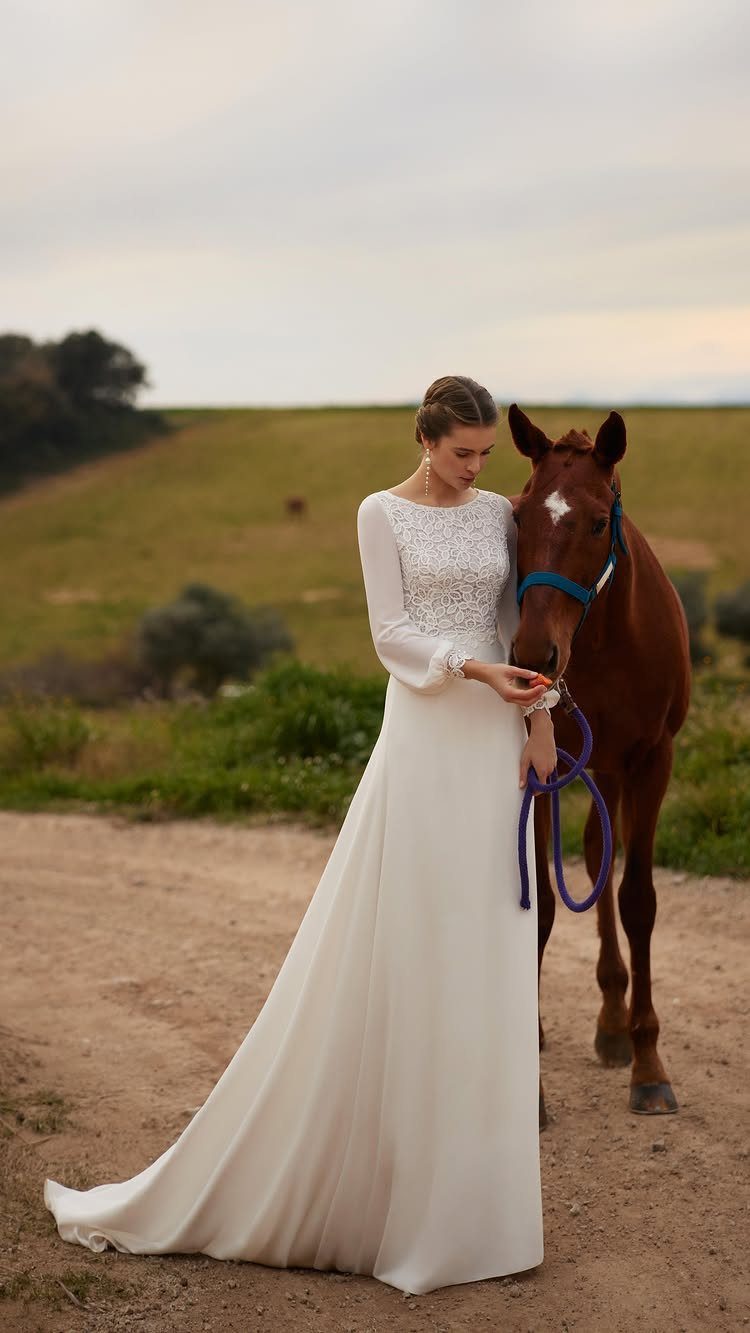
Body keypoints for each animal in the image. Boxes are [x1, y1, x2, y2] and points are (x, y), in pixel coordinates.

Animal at [506, 404, 691, 1120]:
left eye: (592, 521)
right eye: (518, 516)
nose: (533, 654)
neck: (609, 641)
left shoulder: (653, 761)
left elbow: (638, 899)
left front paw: (649, 1065)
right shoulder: (543, 764)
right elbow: (543, 908)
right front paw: (527, 1092)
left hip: (612, 770)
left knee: (600, 858)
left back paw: (615, 1026)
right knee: (590, 858)